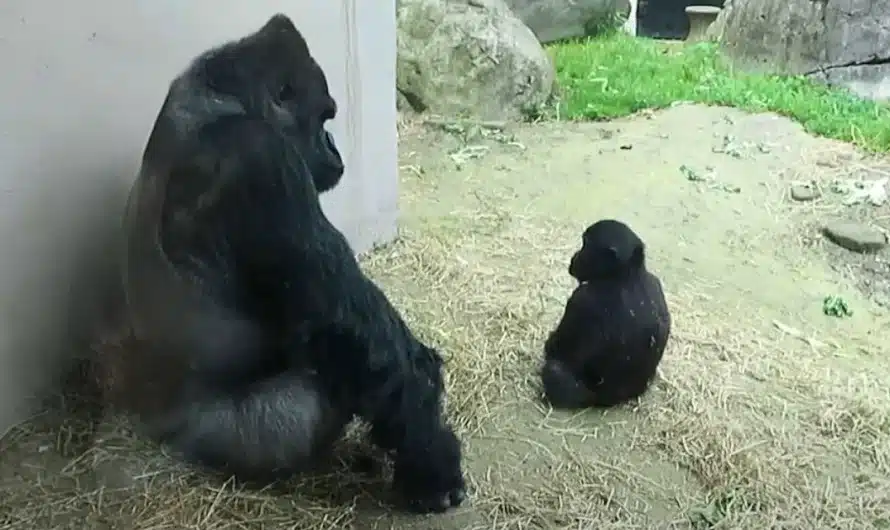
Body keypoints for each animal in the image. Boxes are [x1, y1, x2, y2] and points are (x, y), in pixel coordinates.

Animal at [106, 14, 464, 512]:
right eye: (325, 116)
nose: (333, 147)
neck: (224, 99)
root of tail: (153, 425)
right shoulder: (261, 158)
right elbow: (356, 335)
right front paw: (431, 457)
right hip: (227, 437)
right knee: (315, 390)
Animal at [536, 217, 668, 406]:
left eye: (586, 243)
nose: (576, 256)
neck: (626, 274)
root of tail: (613, 401)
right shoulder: (655, 282)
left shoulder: (581, 300)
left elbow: (557, 346)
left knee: (554, 372)